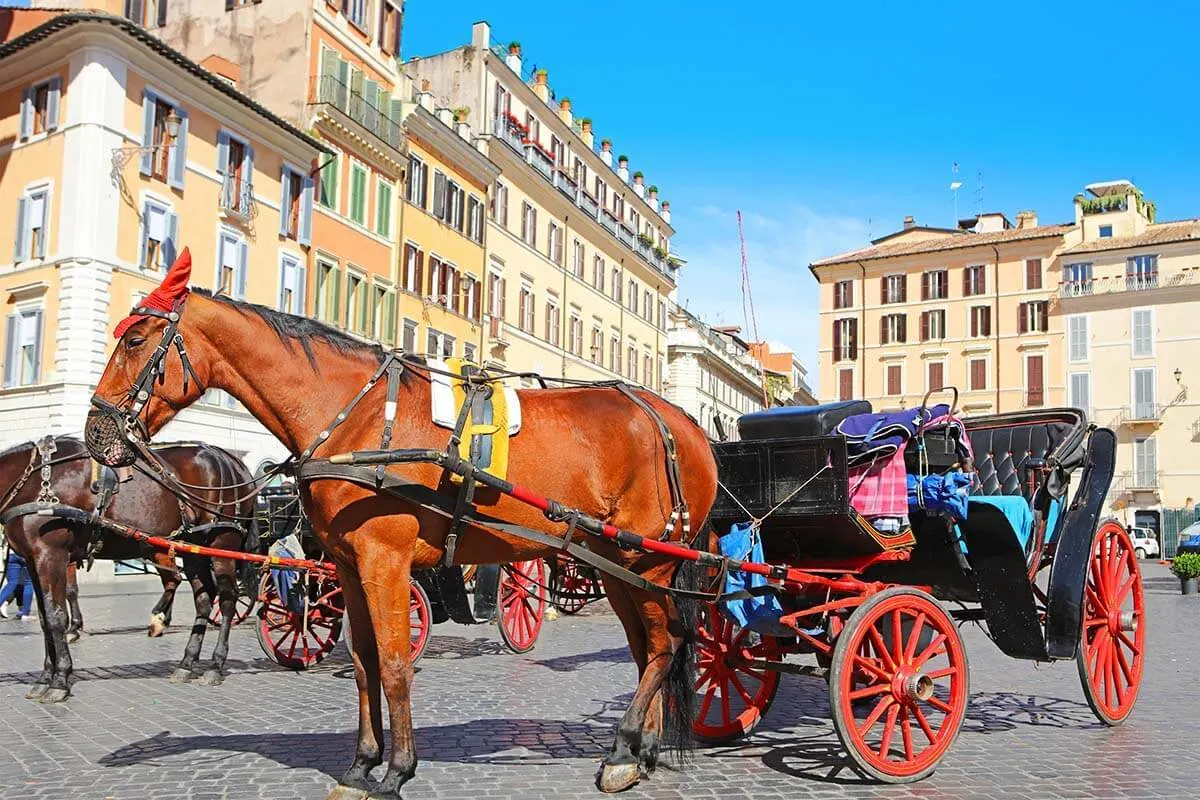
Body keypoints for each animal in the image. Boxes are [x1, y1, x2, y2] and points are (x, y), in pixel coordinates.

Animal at [0, 434, 260, 705]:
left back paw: (215, 665)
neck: (35, 483)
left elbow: (56, 617)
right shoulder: (33, 561)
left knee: (227, 600)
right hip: (193, 549)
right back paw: (186, 662)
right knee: (204, 599)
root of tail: (231, 460)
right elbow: (44, 620)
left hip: (222, 545)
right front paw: (44, 678)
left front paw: (60, 679)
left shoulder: (52, 556)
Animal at [87, 266, 720, 796]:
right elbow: (364, 661)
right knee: (647, 650)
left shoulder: (384, 561)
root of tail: (681, 421)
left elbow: (394, 663)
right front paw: (361, 764)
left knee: (667, 644)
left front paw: (396, 770)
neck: (357, 418)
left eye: (136, 341)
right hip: (616, 564)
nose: (96, 429)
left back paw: (623, 747)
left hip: (649, 560)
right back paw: (640, 752)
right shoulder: (347, 566)